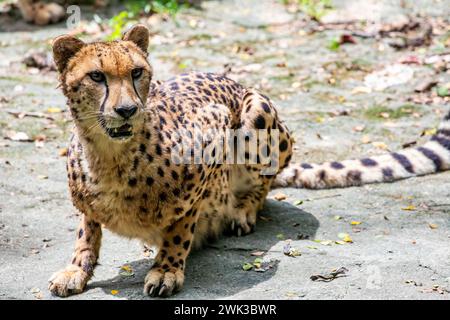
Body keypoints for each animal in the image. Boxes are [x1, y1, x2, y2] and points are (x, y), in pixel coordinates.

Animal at [48, 24, 450, 298]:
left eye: (136, 72)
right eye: (96, 76)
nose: (127, 110)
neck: (111, 157)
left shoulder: (213, 132)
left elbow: (182, 222)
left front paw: (167, 269)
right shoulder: (86, 199)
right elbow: (87, 229)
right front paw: (76, 269)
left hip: (257, 112)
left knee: (264, 182)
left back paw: (241, 210)